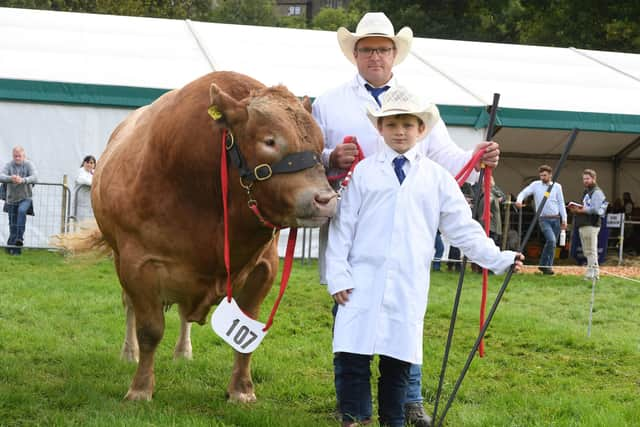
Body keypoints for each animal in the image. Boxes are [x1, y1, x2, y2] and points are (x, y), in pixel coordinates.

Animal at [62, 71, 338, 404]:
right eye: (269, 140)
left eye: (321, 142)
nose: (325, 199)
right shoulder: (137, 263)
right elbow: (150, 329)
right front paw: (140, 388)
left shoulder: (265, 266)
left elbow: (247, 334)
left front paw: (241, 389)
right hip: (119, 257)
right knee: (129, 305)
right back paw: (129, 353)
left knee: (183, 311)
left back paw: (183, 351)